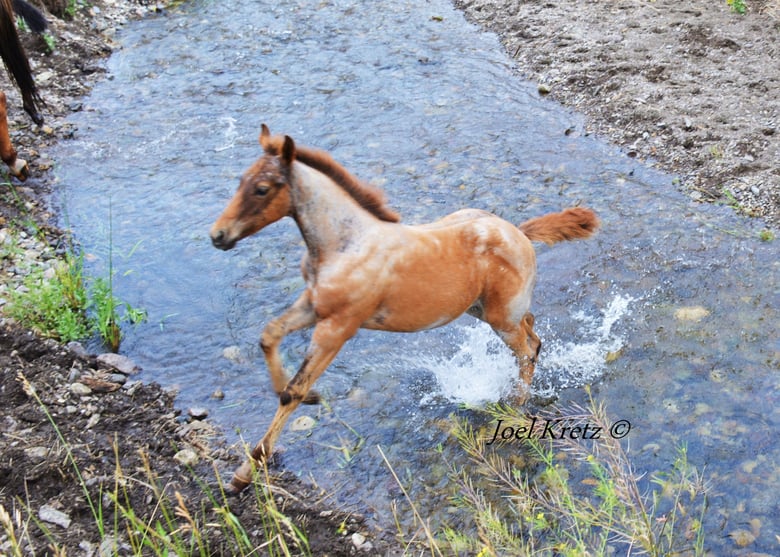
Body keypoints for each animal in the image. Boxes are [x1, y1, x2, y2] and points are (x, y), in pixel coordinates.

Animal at [207, 125, 596, 490]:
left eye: (262, 188)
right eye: (240, 180)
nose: (218, 236)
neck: (345, 245)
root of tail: (519, 232)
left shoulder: (338, 326)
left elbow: (294, 391)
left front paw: (246, 471)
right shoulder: (313, 305)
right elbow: (269, 335)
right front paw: (299, 396)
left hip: (500, 317)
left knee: (526, 352)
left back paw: (512, 412)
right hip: (484, 309)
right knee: (533, 334)